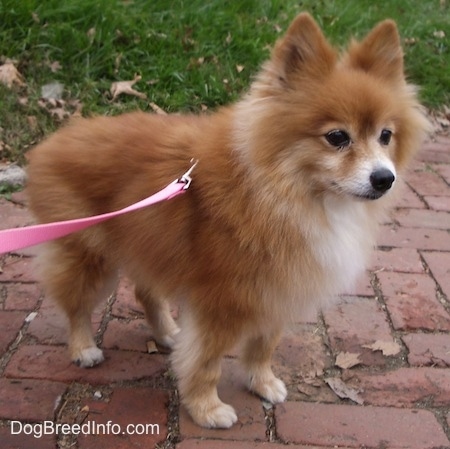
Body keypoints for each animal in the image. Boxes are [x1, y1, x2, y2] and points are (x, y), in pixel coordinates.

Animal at [26, 13, 428, 428]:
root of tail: (54, 139)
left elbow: (264, 346)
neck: (283, 194)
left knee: (144, 291)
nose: (384, 178)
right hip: (89, 255)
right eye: (336, 137)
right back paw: (83, 348)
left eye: (385, 136)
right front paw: (206, 408)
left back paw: (166, 332)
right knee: (76, 304)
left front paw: (261, 383)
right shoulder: (222, 301)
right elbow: (206, 361)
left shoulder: (278, 286)